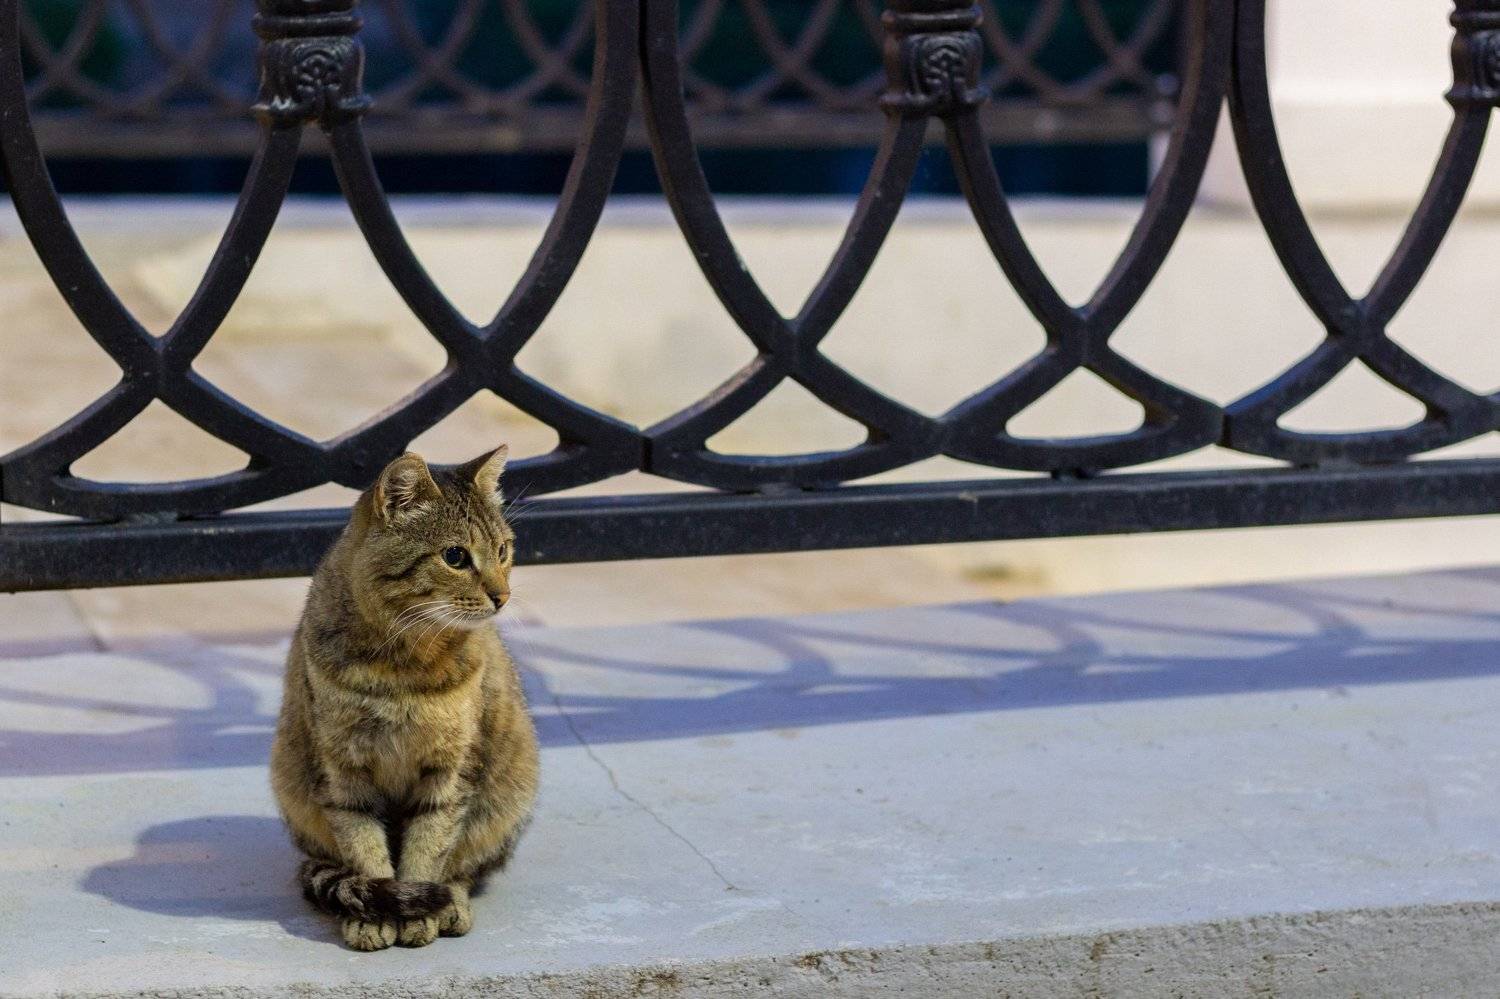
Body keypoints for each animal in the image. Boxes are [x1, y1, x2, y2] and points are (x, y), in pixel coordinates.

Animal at [270, 445, 539, 950]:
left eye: (503, 550)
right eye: (455, 556)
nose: (503, 596)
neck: (404, 665)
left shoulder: (450, 770)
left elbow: (428, 847)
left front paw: (417, 912)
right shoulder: (341, 770)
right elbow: (365, 848)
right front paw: (378, 915)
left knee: (462, 869)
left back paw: (449, 902)